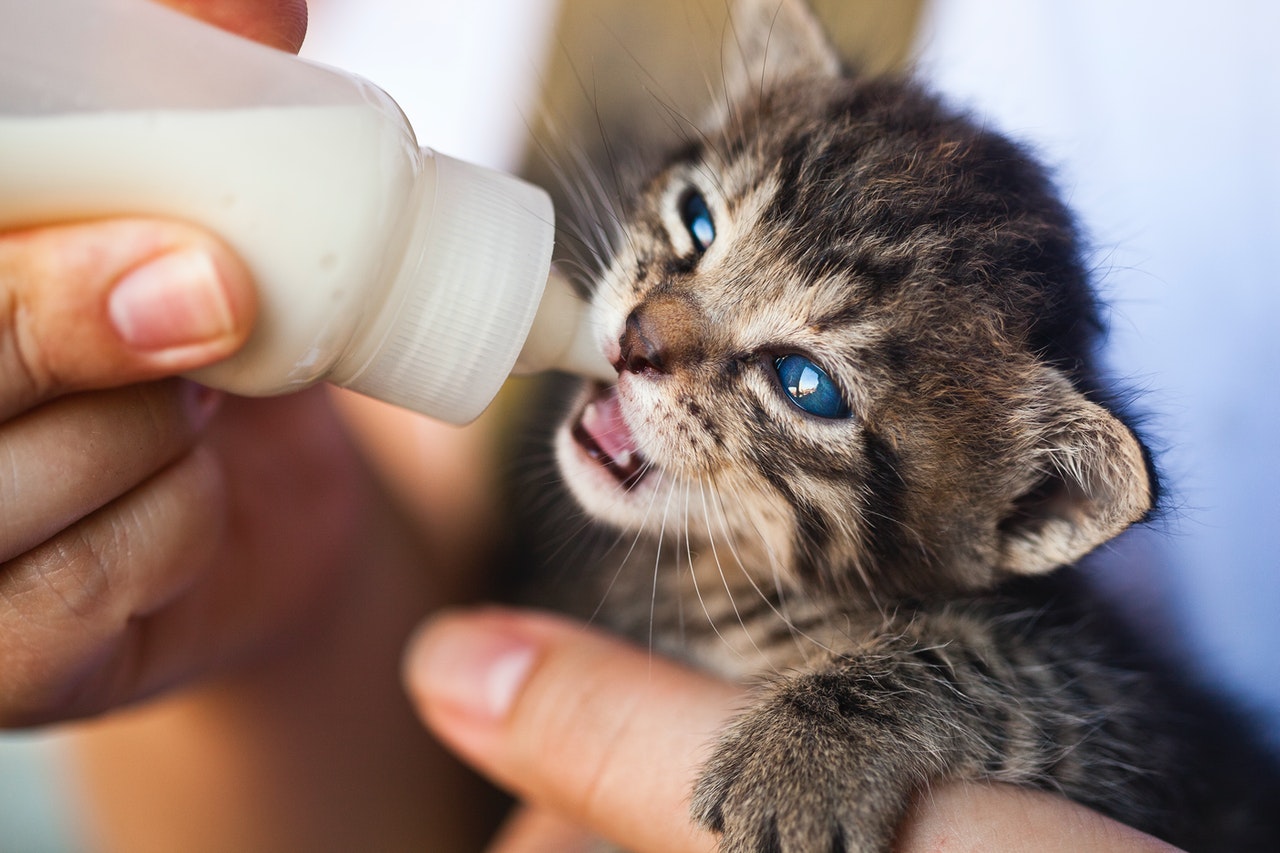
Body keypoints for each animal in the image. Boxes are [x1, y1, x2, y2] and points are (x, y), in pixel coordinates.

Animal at [512, 3, 1280, 845]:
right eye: (697, 220)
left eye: (805, 384)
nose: (635, 340)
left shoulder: (1136, 736)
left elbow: (1007, 668)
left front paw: (801, 755)